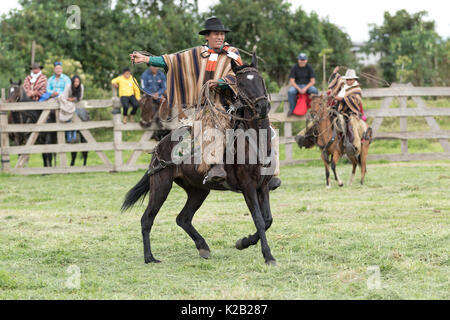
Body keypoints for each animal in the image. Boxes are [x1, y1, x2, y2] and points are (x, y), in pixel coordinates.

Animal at [122, 54, 278, 264]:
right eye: (241, 84)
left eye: (260, 80)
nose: (262, 106)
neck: (254, 142)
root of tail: (159, 146)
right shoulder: (248, 187)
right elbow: (259, 220)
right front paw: (267, 255)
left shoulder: (263, 186)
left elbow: (268, 220)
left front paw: (243, 242)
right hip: (161, 184)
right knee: (147, 219)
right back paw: (149, 257)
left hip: (198, 191)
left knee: (183, 218)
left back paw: (202, 247)